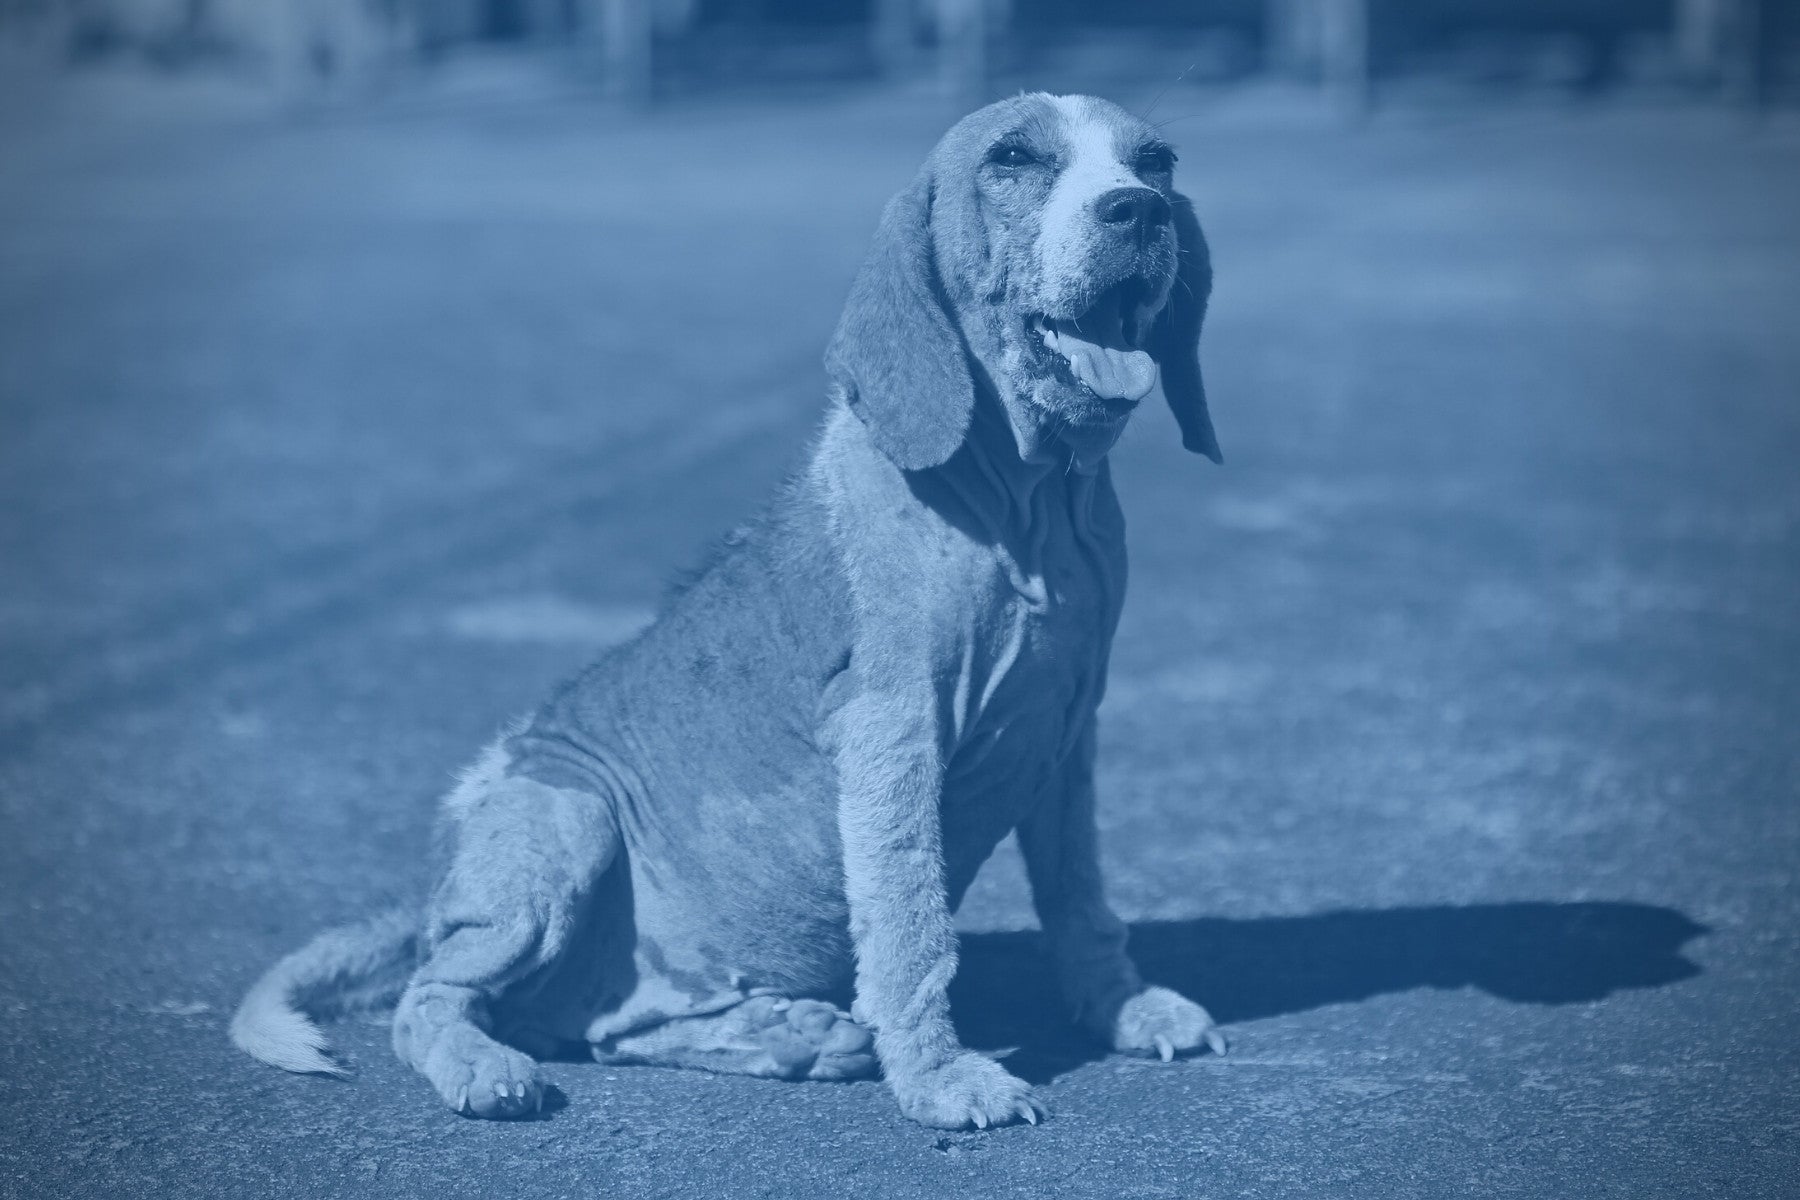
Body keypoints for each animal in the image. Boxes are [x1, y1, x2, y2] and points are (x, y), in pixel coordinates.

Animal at [232, 91, 1224, 1129]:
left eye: (1157, 162)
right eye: (1015, 160)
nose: (1138, 210)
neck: (1027, 508)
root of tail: (429, 903)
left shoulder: (1069, 732)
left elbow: (1080, 893)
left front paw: (1123, 1007)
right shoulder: (892, 737)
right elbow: (911, 929)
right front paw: (944, 1078)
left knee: (610, 1024)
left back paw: (794, 1037)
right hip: (566, 811)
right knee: (437, 994)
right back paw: (486, 1063)